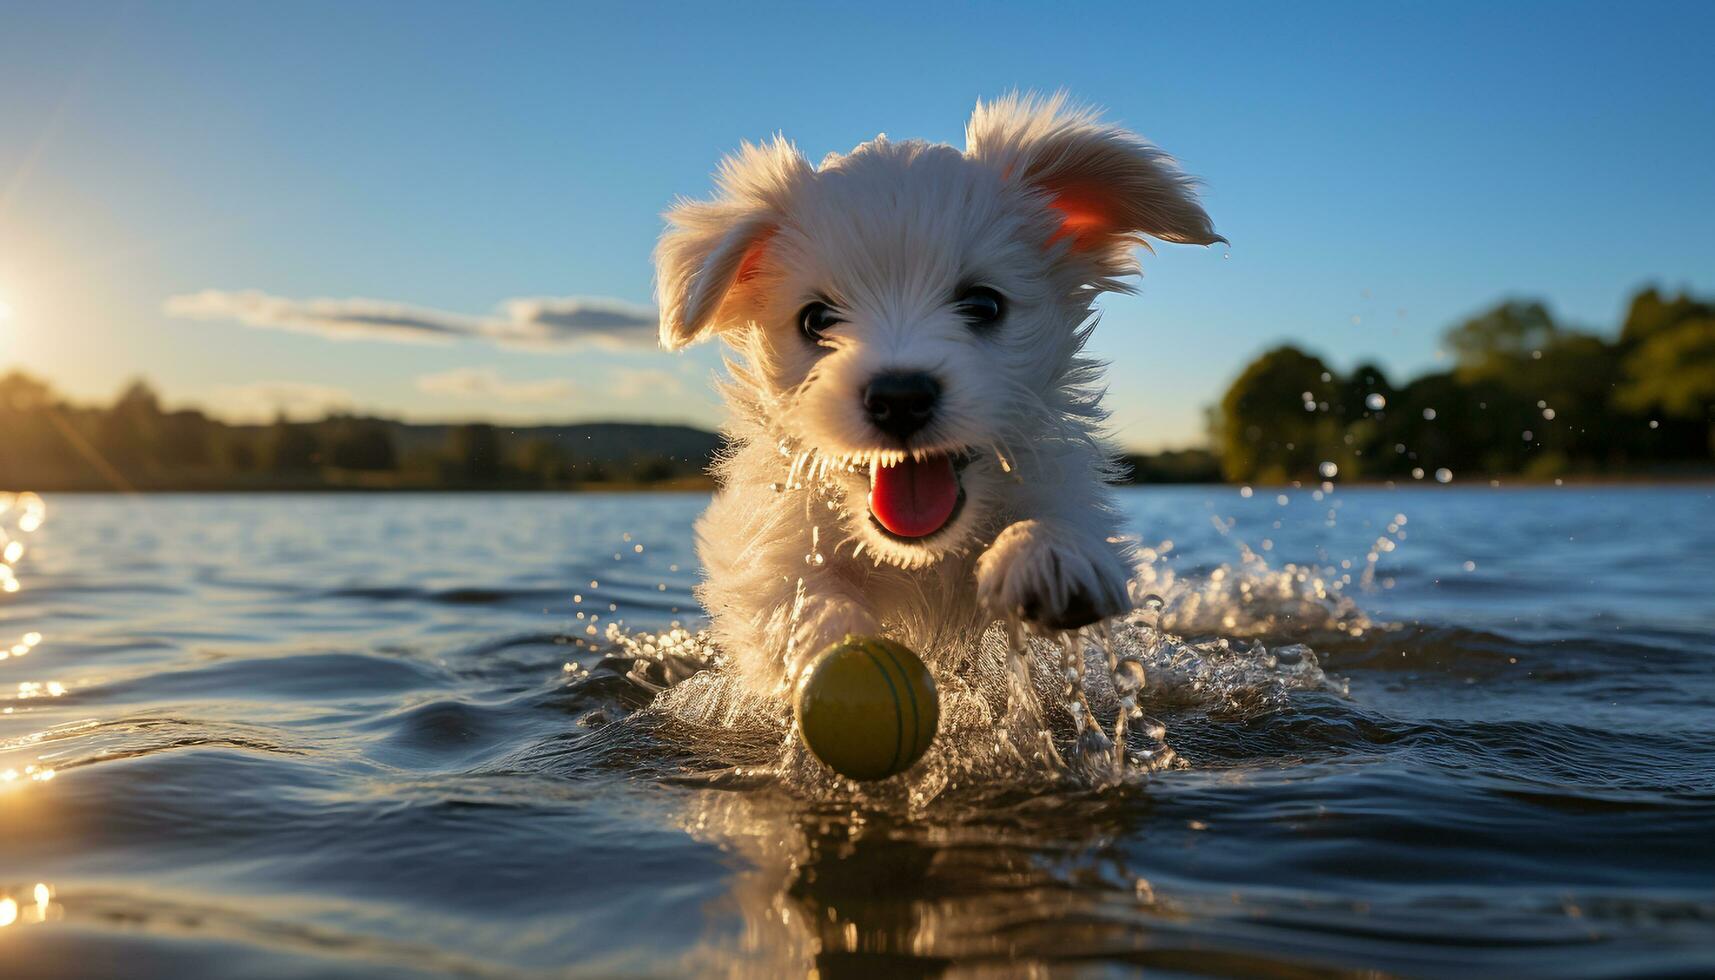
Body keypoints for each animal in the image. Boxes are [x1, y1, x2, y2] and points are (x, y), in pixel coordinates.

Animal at [655, 91, 1221, 689]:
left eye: (984, 304)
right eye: (816, 320)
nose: (899, 396)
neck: (922, 555)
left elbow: (1056, 515)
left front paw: (1050, 554)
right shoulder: (770, 539)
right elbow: (794, 592)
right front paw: (835, 646)